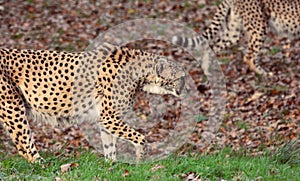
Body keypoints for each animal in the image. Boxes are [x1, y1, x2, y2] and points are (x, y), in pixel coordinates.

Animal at [0, 43, 186, 163]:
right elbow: (140, 138)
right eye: (179, 78)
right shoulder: (108, 117)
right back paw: (44, 166)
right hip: (13, 108)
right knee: (24, 145)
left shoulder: (106, 119)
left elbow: (109, 145)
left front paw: (111, 166)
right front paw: (140, 159)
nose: (184, 88)